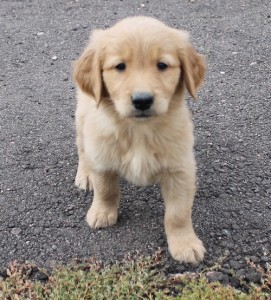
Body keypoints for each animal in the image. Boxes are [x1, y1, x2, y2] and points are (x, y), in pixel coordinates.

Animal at [72, 16, 206, 264]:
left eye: (162, 65)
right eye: (120, 66)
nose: (142, 100)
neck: (138, 131)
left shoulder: (180, 170)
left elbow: (178, 213)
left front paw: (184, 244)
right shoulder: (102, 156)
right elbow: (106, 190)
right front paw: (102, 212)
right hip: (83, 118)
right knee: (83, 149)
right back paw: (85, 174)